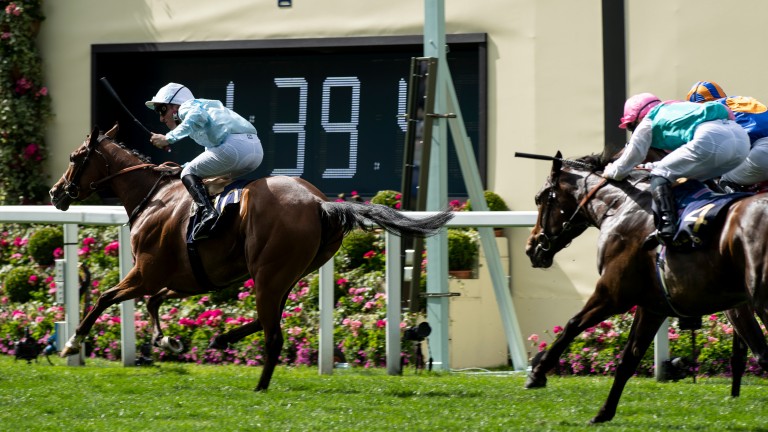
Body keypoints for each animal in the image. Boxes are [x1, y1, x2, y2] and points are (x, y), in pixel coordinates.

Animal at [48, 125, 452, 392]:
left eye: (75, 158)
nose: (56, 192)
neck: (154, 198)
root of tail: (320, 203)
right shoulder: (186, 278)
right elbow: (153, 302)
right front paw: (168, 341)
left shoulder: (146, 272)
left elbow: (105, 298)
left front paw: (72, 343)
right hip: (286, 275)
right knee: (265, 320)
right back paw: (222, 340)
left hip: (270, 274)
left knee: (273, 335)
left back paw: (259, 385)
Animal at [520, 151, 768, 422]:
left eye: (539, 198)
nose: (531, 249)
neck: (620, 206)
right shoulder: (654, 306)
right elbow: (629, 359)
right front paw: (604, 413)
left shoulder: (613, 294)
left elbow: (572, 325)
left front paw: (537, 372)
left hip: (761, 299)